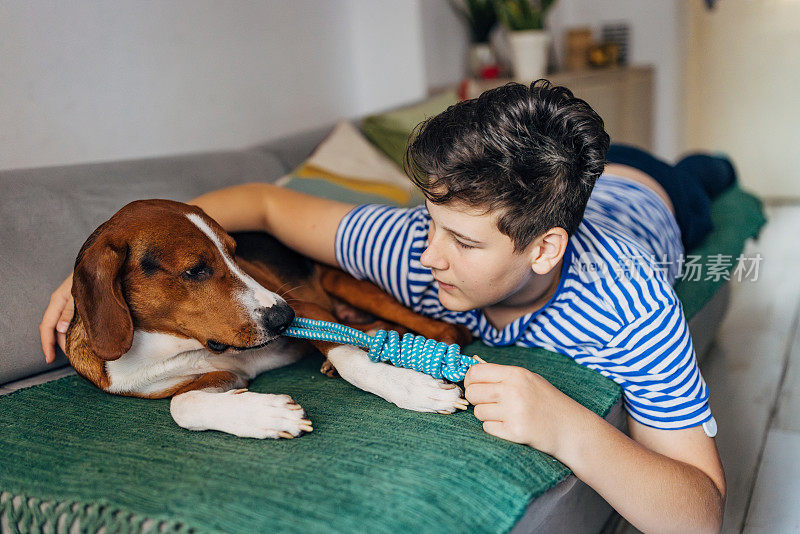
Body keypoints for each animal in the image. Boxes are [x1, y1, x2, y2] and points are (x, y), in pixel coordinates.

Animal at [67, 200, 476, 440]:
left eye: (235, 252)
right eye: (195, 270)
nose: (284, 318)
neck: (180, 343)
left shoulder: (307, 308)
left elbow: (351, 358)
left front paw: (411, 389)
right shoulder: (213, 377)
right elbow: (181, 406)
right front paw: (265, 415)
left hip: (347, 283)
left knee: (448, 329)